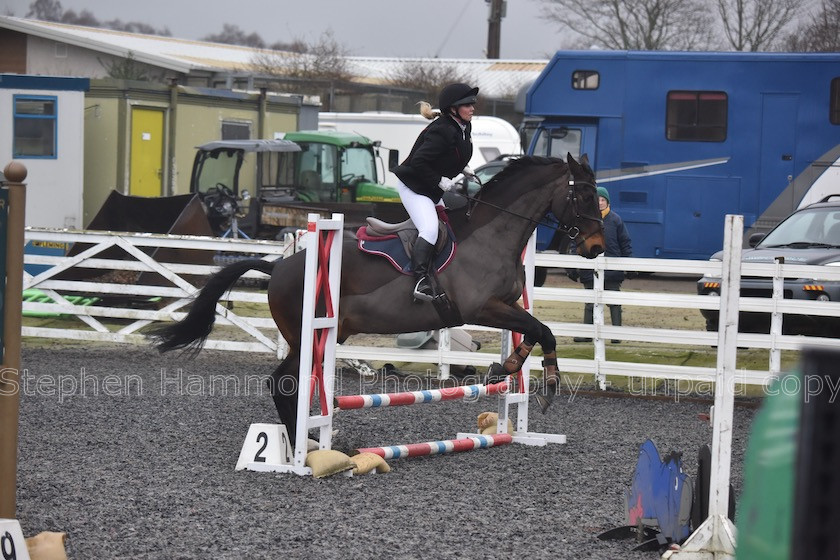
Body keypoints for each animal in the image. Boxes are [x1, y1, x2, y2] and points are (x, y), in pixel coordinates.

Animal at [154, 154, 604, 442]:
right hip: (309, 336)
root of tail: (278, 267)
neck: (492, 234)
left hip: (322, 337)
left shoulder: (506, 306)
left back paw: (307, 443)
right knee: (282, 382)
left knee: (286, 382)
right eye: (583, 197)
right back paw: (305, 447)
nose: (597, 248)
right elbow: (542, 330)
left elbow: (536, 331)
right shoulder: (483, 308)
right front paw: (545, 385)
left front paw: (506, 367)